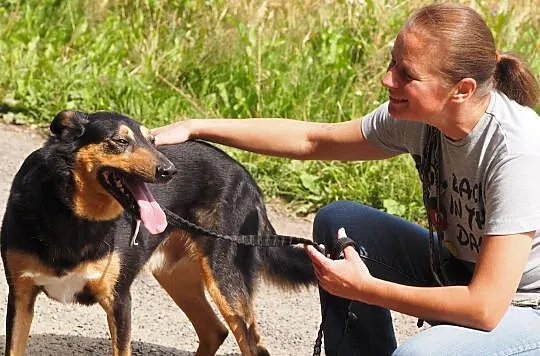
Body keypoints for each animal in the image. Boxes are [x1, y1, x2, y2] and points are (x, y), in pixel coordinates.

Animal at [1, 110, 316, 354]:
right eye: (121, 141)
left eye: (152, 141)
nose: (169, 170)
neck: (74, 216)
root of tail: (250, 181)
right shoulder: (21, 296)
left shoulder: (119, 301)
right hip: (175, 276)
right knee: (214, 331)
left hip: (227, 283)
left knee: (252, 345)